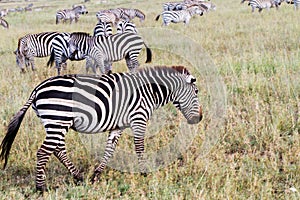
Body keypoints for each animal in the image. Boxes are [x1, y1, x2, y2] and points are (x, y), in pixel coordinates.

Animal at [0, 65, 203, 191]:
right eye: (196, 92)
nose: (199, 118)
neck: (148, 91)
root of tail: (37, 89)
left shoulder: (118, 125)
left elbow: (110, 149)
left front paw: (96, 175)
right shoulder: (139, 118)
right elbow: (139, 147)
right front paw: (145, 172)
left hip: (56, 123)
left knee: (57, 149)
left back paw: (78, 177)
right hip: (58, 120)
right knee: (44, 152)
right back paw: (41, 188)